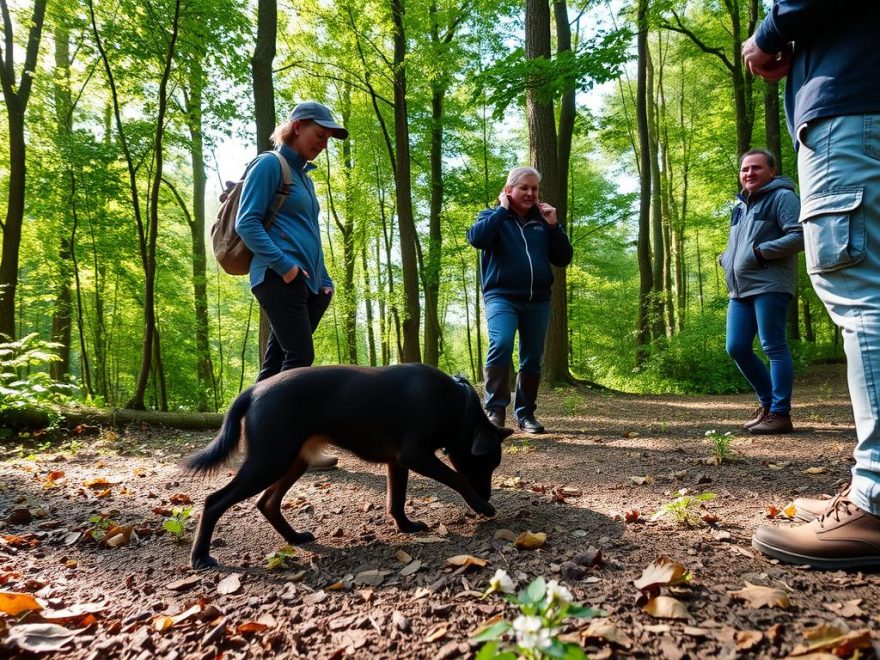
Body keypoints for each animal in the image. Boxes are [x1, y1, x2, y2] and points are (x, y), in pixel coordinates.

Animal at [187, 364, 516, 568]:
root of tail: (252, 391)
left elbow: (396, 500)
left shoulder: (398, 462)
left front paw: (406, 526)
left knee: (267, 503)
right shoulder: (416, 455)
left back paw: (294, 538)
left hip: (293, 461)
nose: (487, 495)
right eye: (487, 463)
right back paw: (200, 557)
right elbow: (458, 479)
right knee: (214, 501)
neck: (458, 403)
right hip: (269, 460)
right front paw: (481, 506)